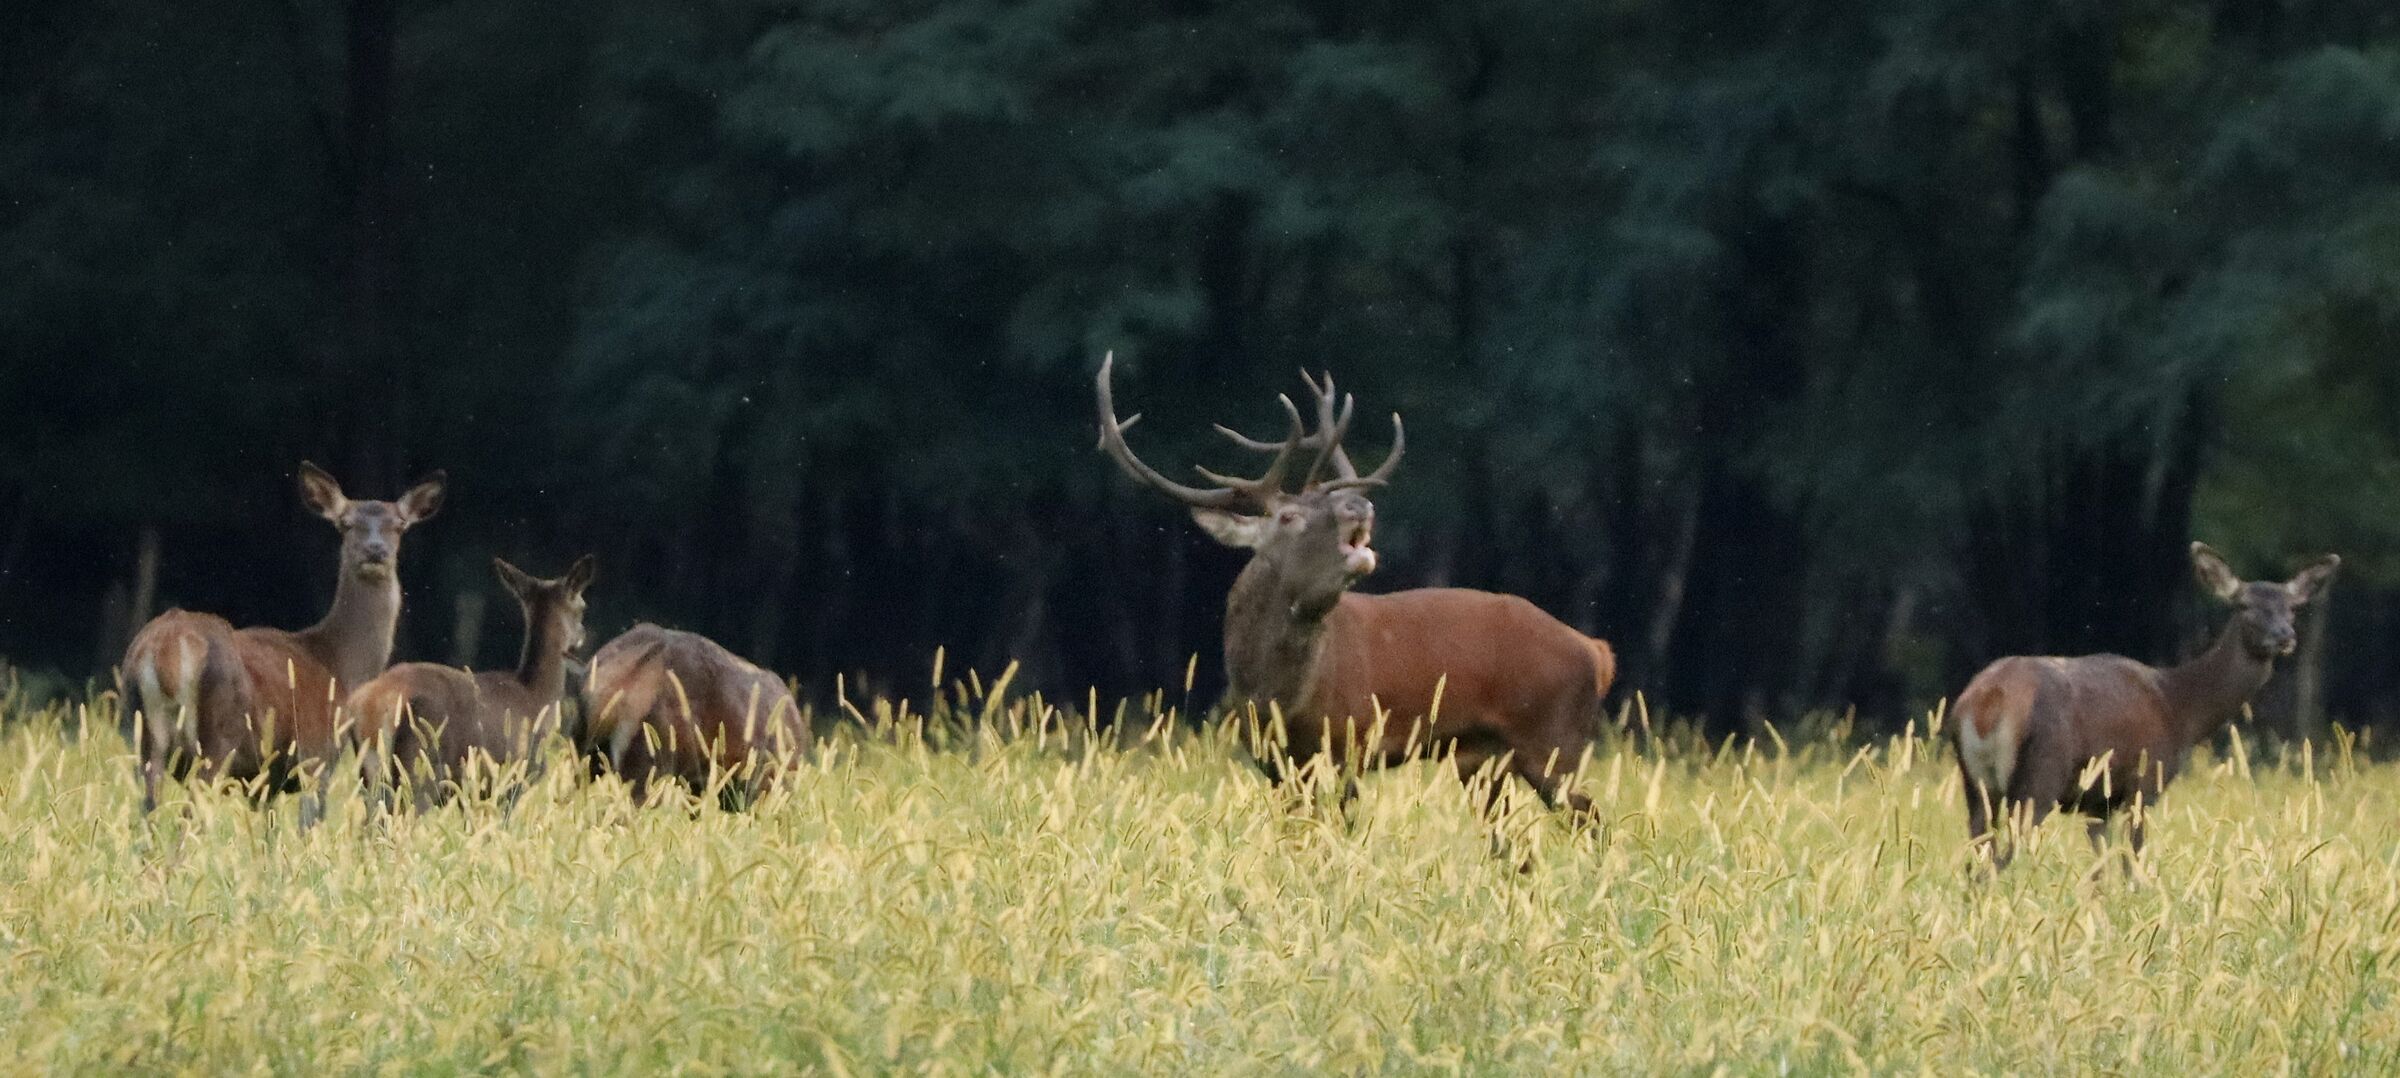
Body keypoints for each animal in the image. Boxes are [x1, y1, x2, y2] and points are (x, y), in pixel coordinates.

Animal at [120, 462, 446, 821]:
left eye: (398, 526)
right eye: (346, 524)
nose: (375, 550)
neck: (339, 665)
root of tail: (165, 650)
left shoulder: (264, 781)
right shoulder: (317, 754)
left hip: (142, 733)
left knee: (147, 808)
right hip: (216, 736)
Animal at [350, 556, 595, 812]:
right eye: (582, 607)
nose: (582, 635)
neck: (536, 696)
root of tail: (371, 704)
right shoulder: (512, 781)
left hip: (371, 773)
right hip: (420, 766)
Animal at [1095, 353, 1617, 816]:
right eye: (1288, 516)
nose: (1359, 505)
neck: (1273, 692)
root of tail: (1595, 651)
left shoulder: (1350, 742)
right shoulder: (1273, 761)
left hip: (1553, 741)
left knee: (1592, 819)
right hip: (1483, 758)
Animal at [1954, 542, 2339, 870]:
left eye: (2292, 608)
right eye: (2244, 605)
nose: (2284, 636)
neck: (2179, 708)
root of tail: (1987, 702)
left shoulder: (2099, 802)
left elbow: (2100, 869)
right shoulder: (2146, 779)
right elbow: (2132, 862)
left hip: (1975, 782)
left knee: (1978, 855)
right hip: (2041, 773)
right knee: (2005, 856)